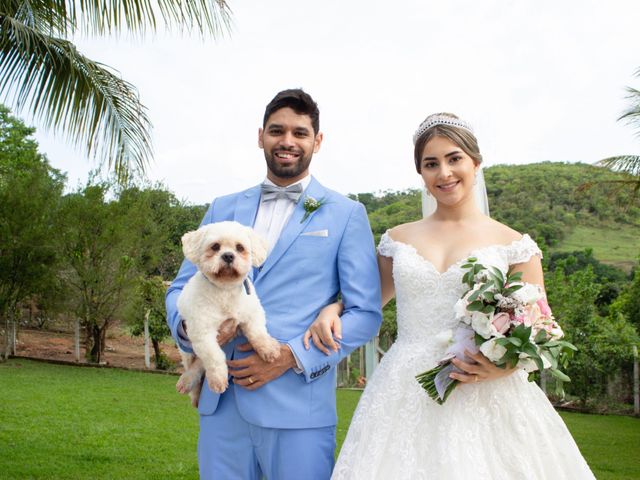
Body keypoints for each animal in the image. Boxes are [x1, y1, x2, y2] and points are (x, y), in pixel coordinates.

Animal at [175, 221, 280, 404]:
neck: (225, 291)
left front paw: (268, 349)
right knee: (195, 366)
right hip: (186, 351)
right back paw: (189, 385)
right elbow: (214, 357)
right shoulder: (202, 333)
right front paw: (218, 379)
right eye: (215, 246)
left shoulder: (253, 314)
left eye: (240, 248)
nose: (229, 256)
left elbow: (258, 333)